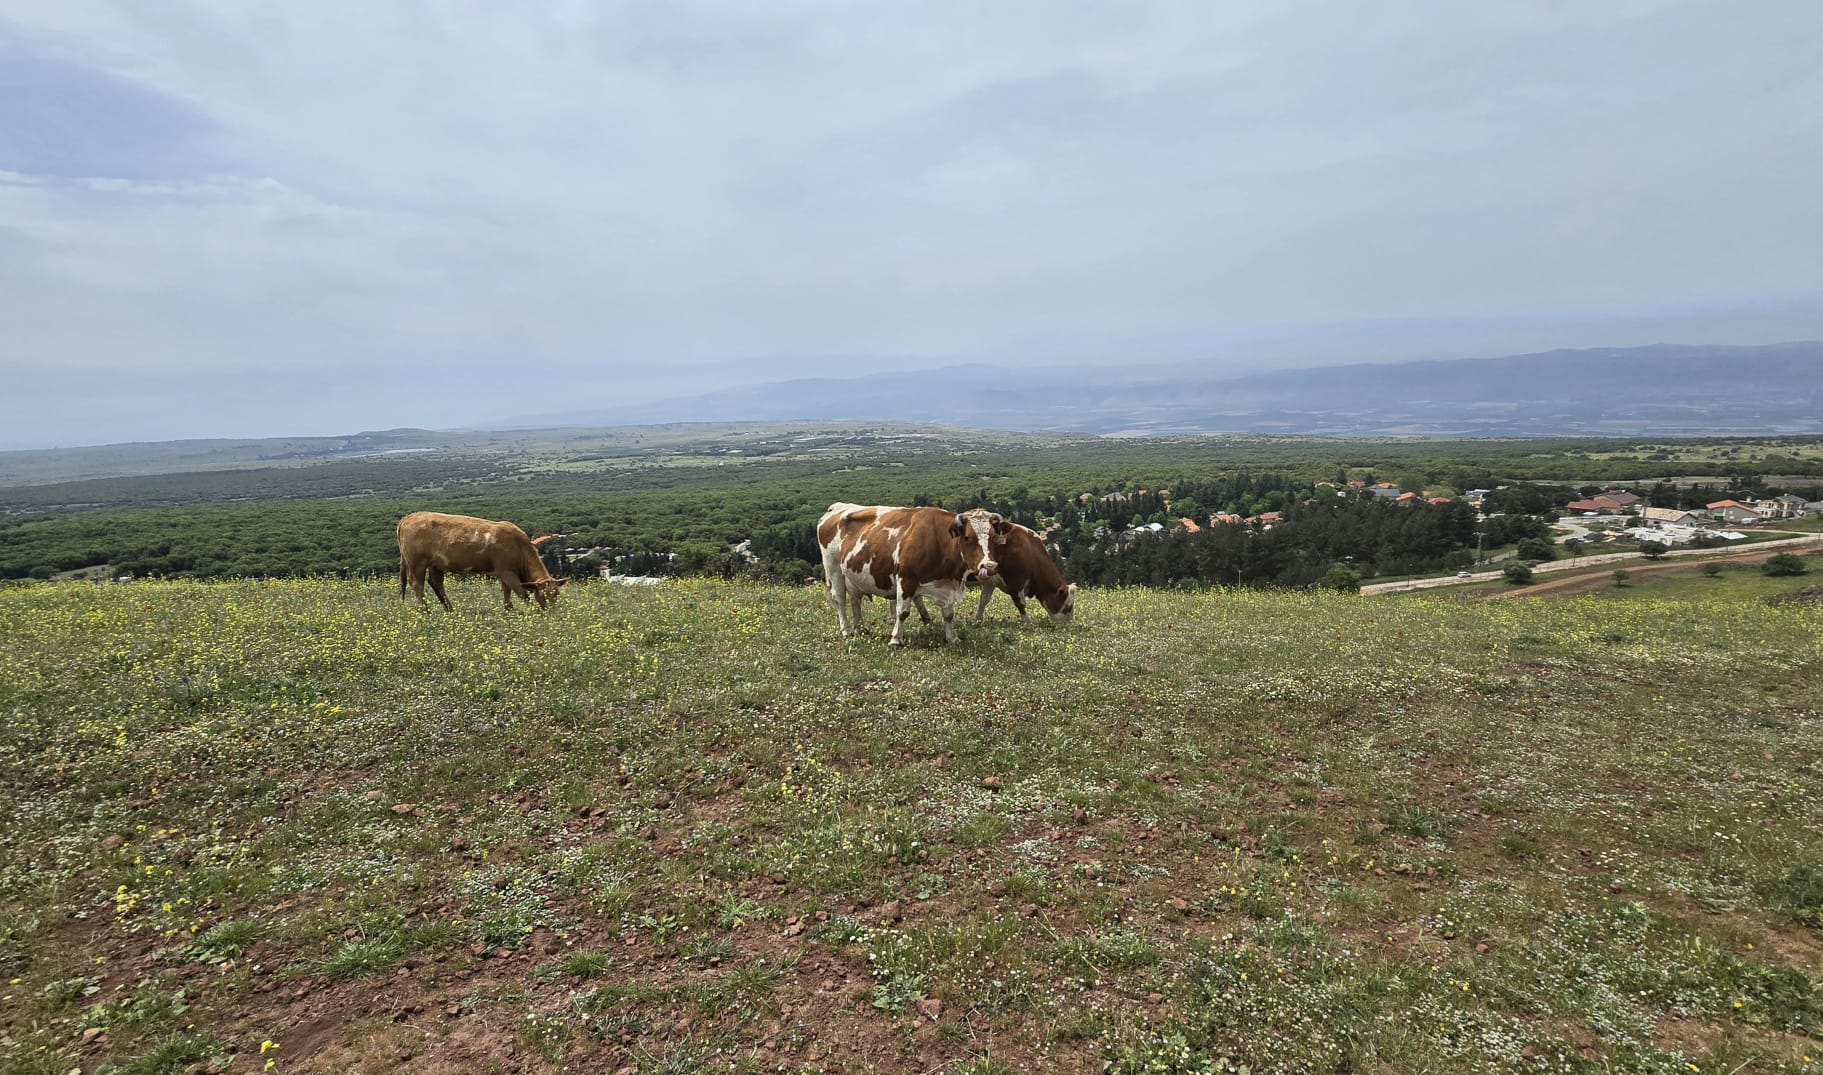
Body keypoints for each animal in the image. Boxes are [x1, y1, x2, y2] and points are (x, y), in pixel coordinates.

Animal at [397, 511, 569, 611]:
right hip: (417, 562)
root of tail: (410, 517)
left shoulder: (504, 573)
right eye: (544, 595)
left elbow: (506, 593)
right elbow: (522, 593)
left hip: (436, 563)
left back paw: (450, 609)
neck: (519, 546)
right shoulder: (508, 573)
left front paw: (509, 611)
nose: (551, 611)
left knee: (436, 583)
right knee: (417, 584)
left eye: (557, 594)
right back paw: (425, 610)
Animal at [817, 502, 1008, 646]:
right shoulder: (905, 579)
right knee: (840, 600)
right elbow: (902, 612)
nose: (990, 566)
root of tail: (837, 507)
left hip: (853, 576)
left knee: (855, 600)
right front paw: (895, 639)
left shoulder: (947, 586)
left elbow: (948, 614)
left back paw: (861, 628)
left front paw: (952, 638)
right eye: (967, 537)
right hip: (833, 569)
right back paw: (847, 630)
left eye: (993, 538)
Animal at [916, 521, 1076, 624]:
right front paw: (1028, 622)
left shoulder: (990, 581)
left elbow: (984, 600)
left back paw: (926, 618)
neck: (1028, 548)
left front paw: (978, 620)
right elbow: (1020, 604)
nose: (1068, 625)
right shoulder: (1015, 582)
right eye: (1068, 607)